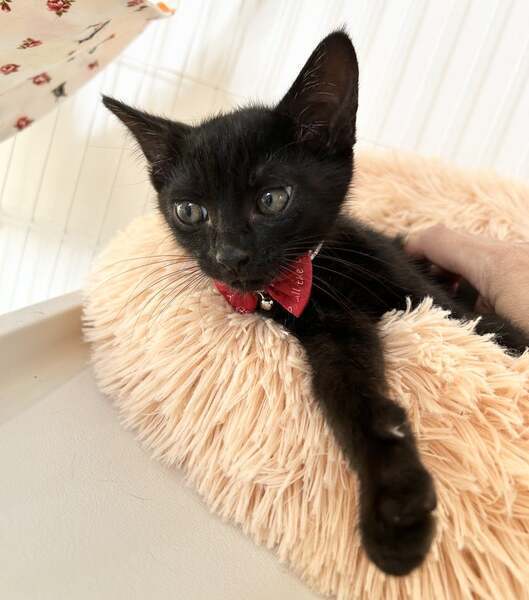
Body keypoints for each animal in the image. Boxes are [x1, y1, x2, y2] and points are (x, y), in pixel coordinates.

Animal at [102, 30, 528, 576]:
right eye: (190, 211)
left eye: (272, 200)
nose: (228, 255)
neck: (320, 278)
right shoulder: (332, 334)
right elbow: (353, 399)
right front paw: (396, 513)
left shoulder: (423, 290)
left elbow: (487, 330)